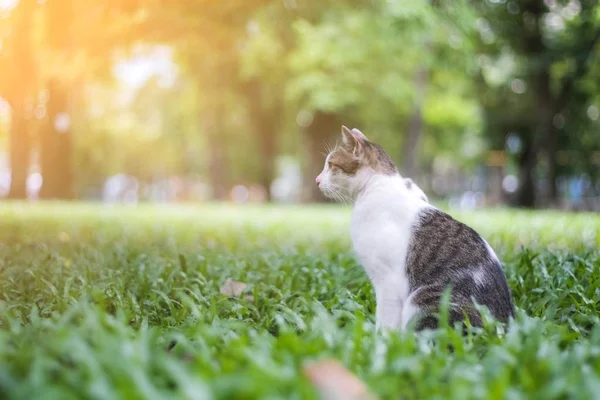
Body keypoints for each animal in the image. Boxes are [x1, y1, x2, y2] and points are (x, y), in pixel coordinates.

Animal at [314, 126, 516, 332]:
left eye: (330, 165)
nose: (317, 180)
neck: (376, 187)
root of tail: (504, 326)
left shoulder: (388, 281)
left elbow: (386, 321)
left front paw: (380, 337)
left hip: (425, 297)